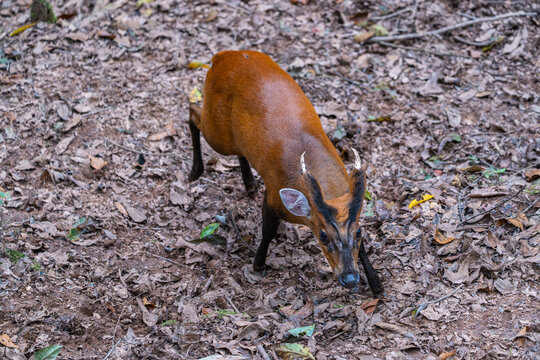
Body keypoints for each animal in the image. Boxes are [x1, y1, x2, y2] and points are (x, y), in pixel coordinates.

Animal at [188, 50, 382, 292]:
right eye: (323, 236)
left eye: (357, 232)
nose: (350, 278)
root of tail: (222, 56)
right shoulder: (272, 197)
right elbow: (268, 231)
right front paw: (258, 264)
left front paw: (376, 283)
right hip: (217, 131)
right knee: (192, 111)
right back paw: (195, 171)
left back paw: (249, 183)